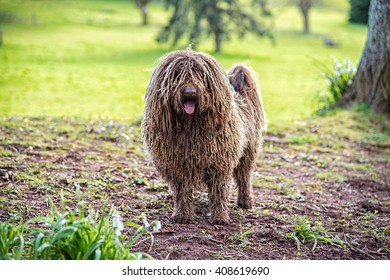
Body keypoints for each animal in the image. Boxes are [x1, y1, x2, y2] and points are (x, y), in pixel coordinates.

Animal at [142, 49, 266, 225]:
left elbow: (218, 192)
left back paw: (245, 201)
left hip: (248, 150)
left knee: (244, 176)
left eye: (200, 74)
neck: (191, 127)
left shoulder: (220, 164)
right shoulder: (178, 165)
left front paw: (220, 217)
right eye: (177, 74)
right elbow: (182, 193)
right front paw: (183, 215)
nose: (190, 92)